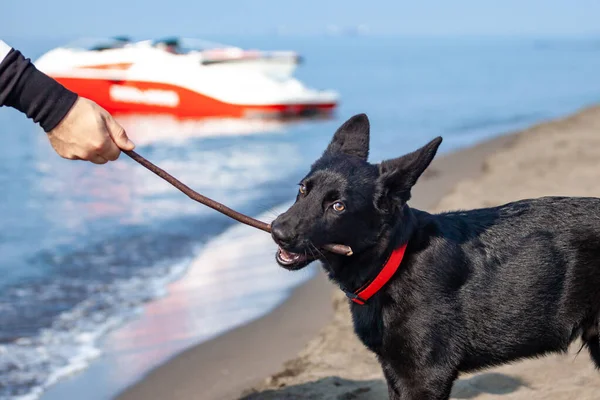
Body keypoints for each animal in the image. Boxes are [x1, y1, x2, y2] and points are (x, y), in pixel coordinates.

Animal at [272, 113, 600, 400]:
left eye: (338, 206)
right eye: (303, 189)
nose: (278, 231)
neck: (394, 261)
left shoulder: (424, 378)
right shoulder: (395, 373)